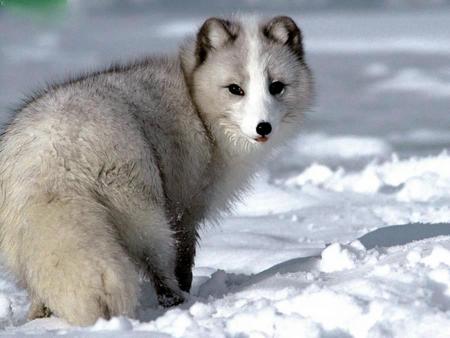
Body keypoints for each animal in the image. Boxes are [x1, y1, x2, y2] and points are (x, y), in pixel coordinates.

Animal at [0, 15, 312, 324]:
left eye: (276, 86)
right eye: (235, 89)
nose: (263, 127)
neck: (196, 102)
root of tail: (55, 155)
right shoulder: (185, 208)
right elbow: (184, 259)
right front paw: (185, 290)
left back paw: (38, 317)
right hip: (145, 215)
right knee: (158, 265)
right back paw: (176, 301)